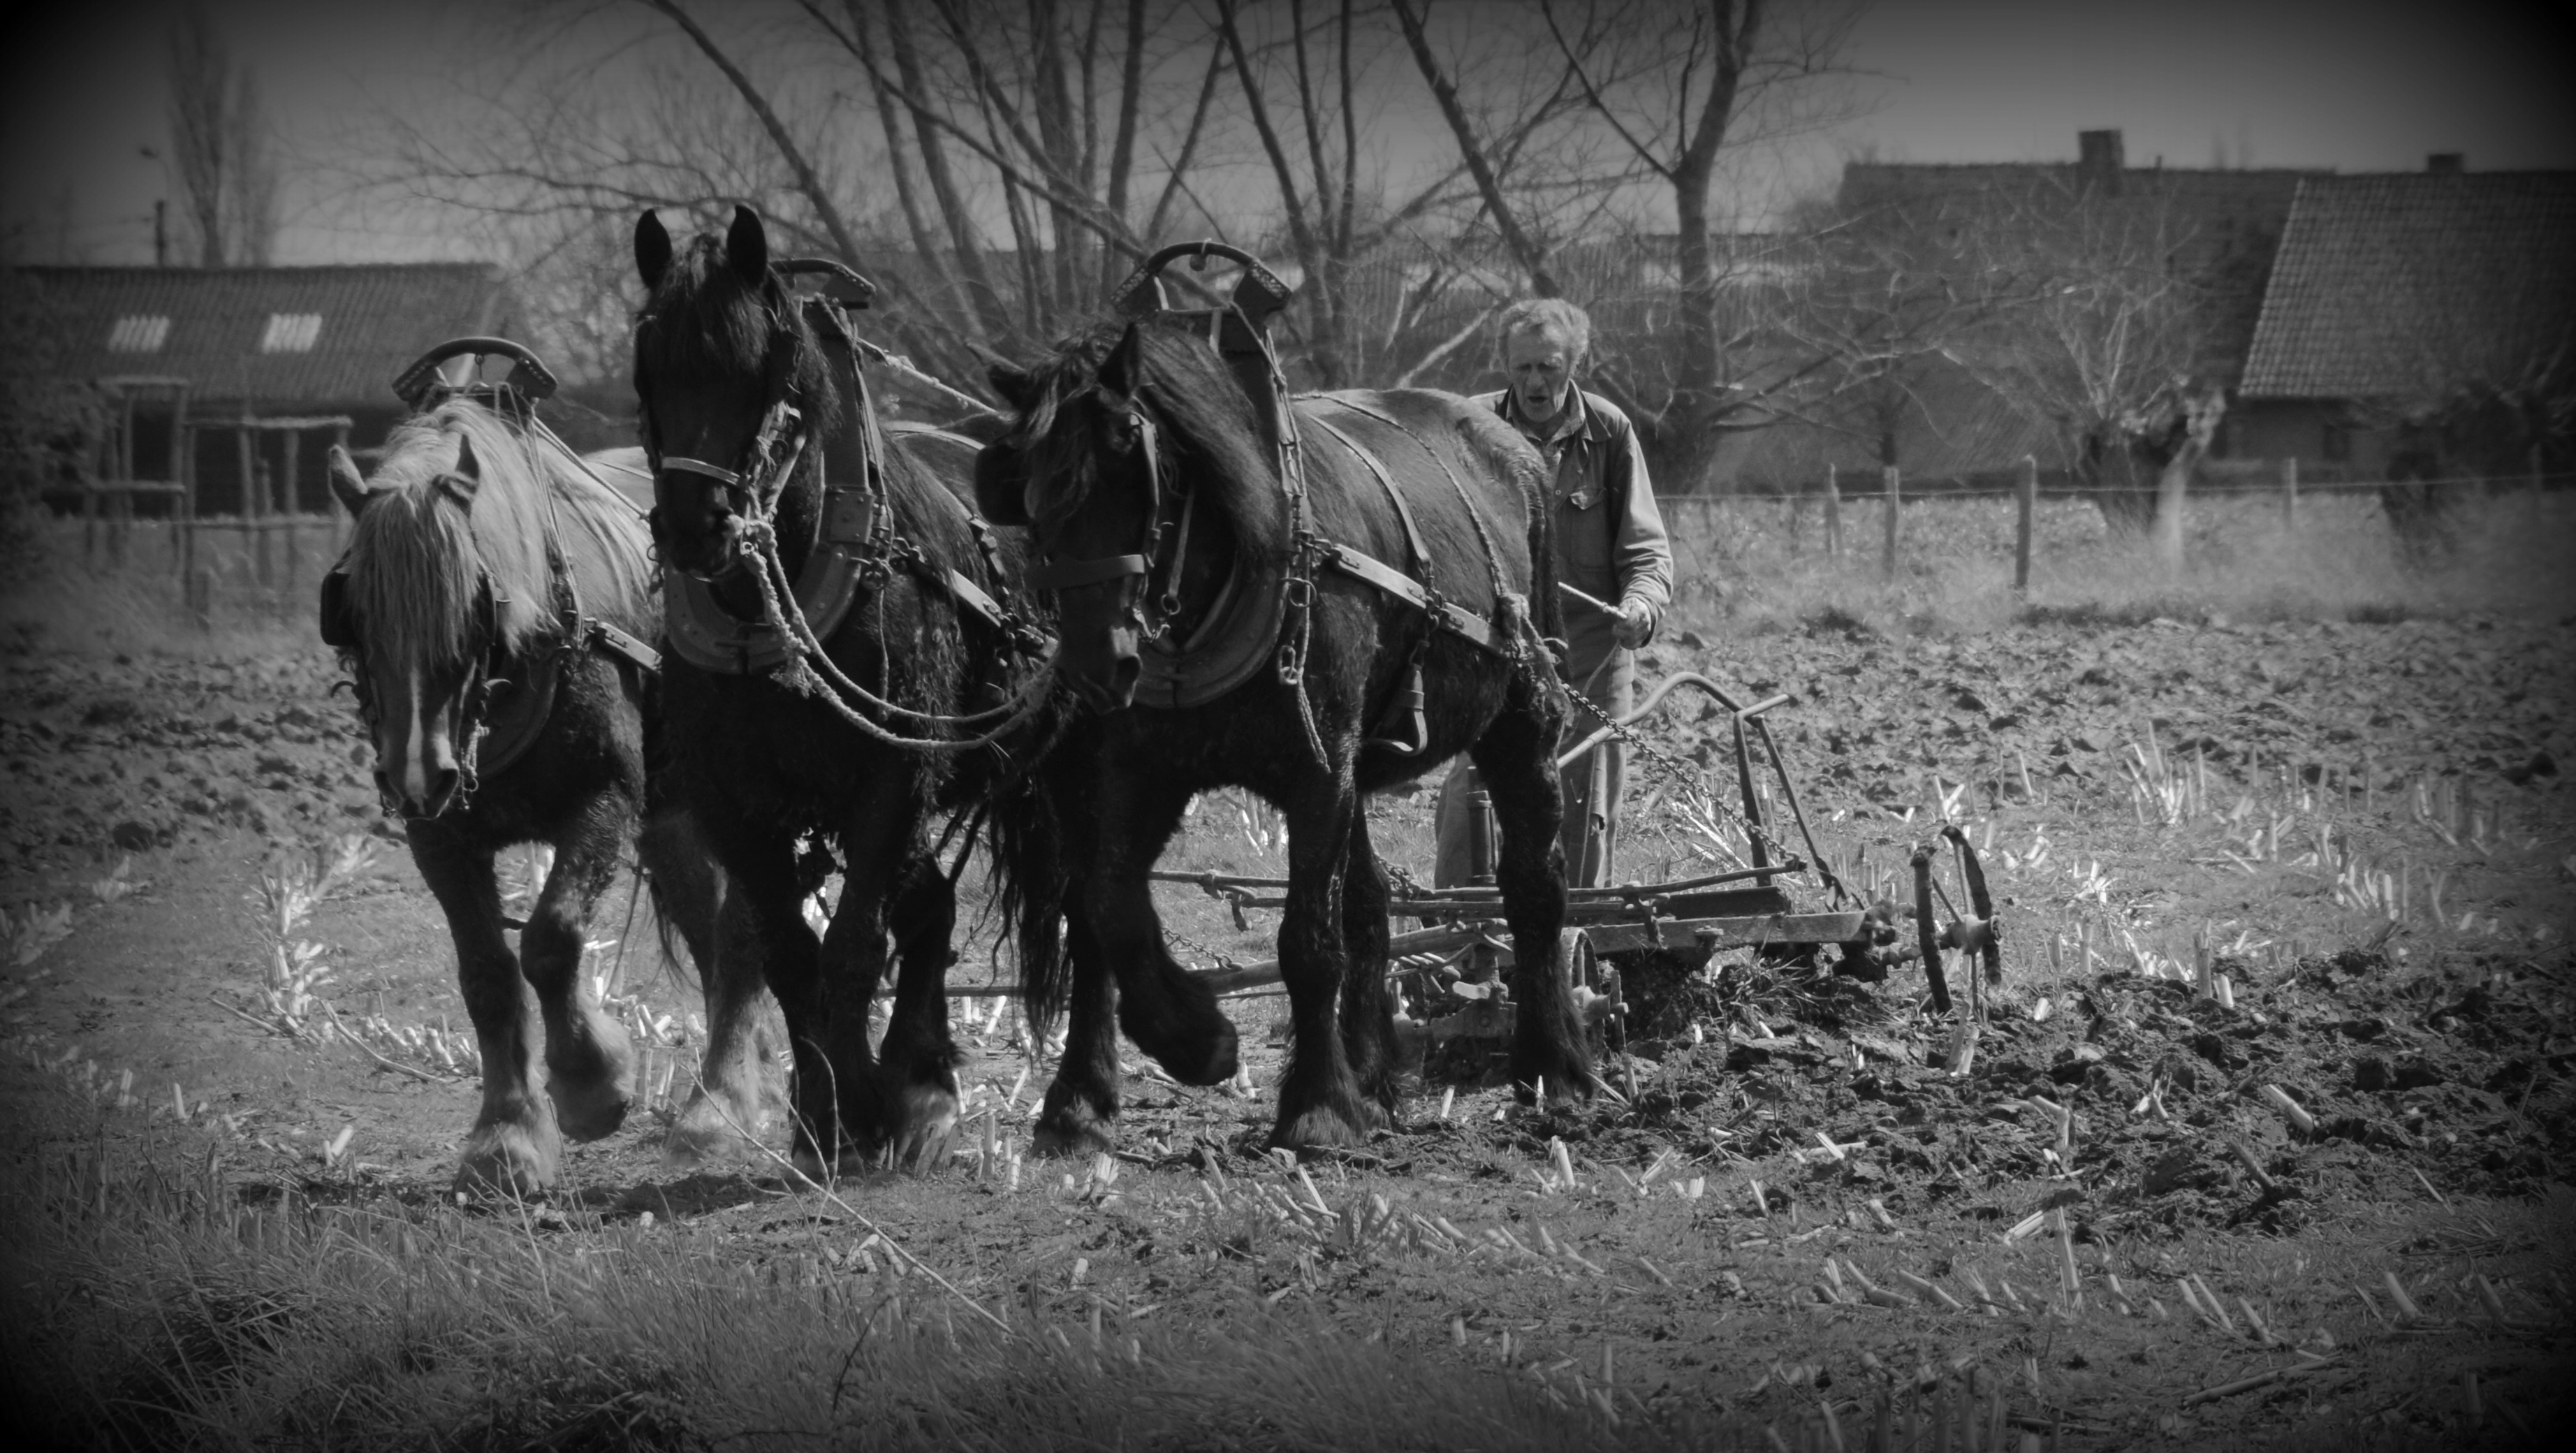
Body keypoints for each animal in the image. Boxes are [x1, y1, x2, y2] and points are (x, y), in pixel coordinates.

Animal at [321, 398, 769, 1194]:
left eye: (474, 607)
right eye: (353, 615)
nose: (418, 775)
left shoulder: (603, 798)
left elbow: (552, 939)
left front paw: (592, 1083)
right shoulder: (439, 838)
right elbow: (487, 975)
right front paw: (505, 1138)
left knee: (742, 935)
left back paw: (715, 1111)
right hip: (672, 820)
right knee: (711, 932)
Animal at [629, 205, 1065, 1173]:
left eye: (764, 368)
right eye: (648, 366)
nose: (693, 525)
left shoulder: (890, 778)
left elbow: (854, 944)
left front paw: (861, 1105)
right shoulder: (731, 800)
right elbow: (793, 954)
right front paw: (822, 1112)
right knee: (930, 906)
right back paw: (923, 1082)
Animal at [976, 311, 1595, 1151]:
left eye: (1132, 465)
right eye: (1031, 487)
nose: (1096, 662)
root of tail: (1518, 450)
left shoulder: (1316, 772)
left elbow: (1305, 939)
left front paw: (1315, 1108)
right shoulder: (1144, 771)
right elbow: (1110, 906)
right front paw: (1195, 1039)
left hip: (1517, 719)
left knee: (1535, 888)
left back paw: (1551, 1068)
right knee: (1369, 906)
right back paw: (1374, 1083)